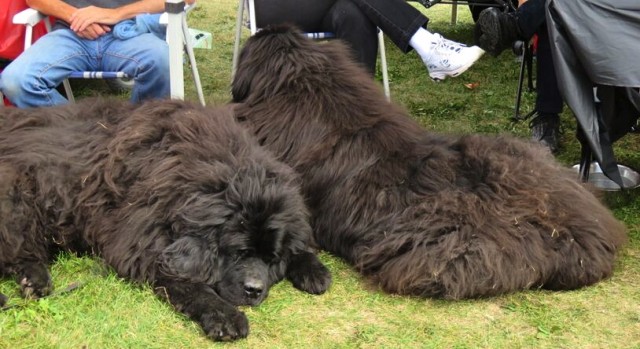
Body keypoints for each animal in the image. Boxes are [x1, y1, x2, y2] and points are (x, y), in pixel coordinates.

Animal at [0, 98, 330, 340]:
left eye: (272, 258)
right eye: (239, 253)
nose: (254, 289)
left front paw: (312, 268)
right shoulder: (139, 242)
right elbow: (188, 283)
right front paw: (224, 315)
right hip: (19, 192)